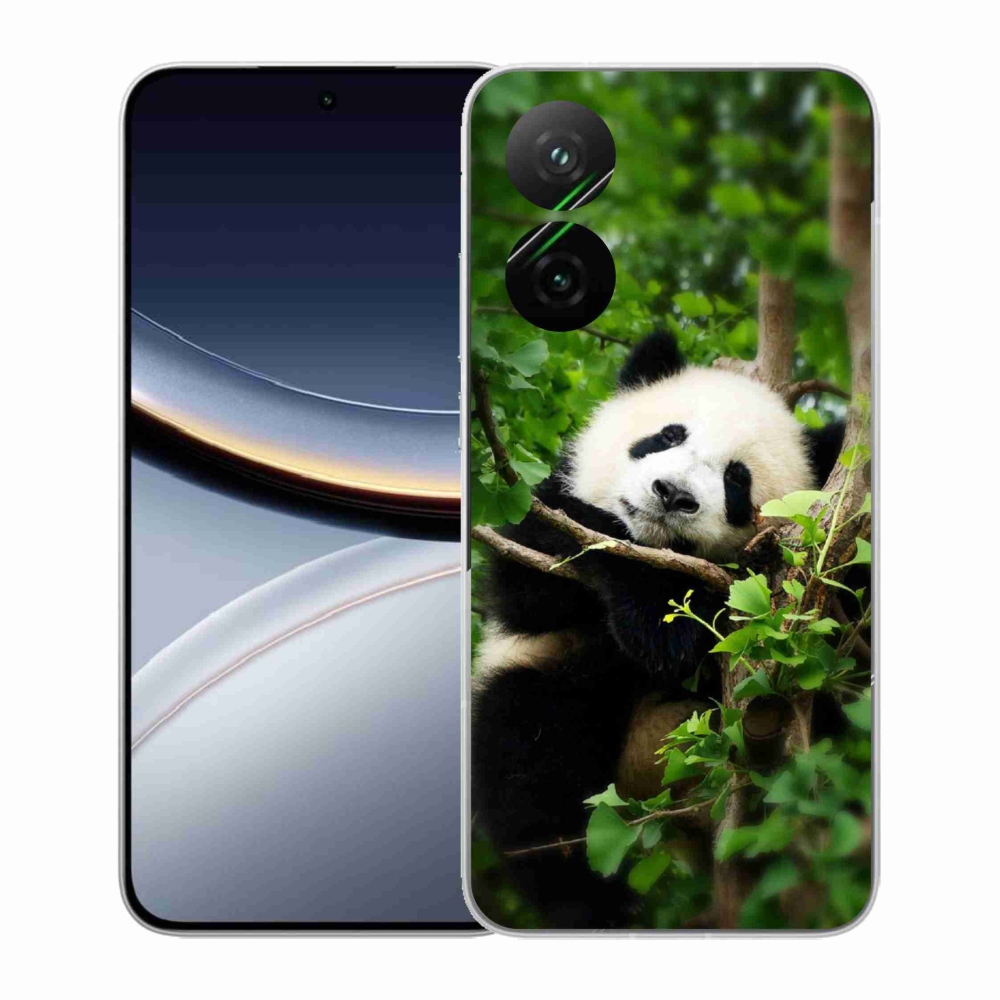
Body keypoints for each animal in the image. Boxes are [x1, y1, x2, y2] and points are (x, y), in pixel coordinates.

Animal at [471, 330, 845, 929]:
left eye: (736, 480)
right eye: (667, 435)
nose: (672, 494)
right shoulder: (536, 517)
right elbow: (532, 583)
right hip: (552, 689)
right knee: (530, 764)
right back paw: (592, 902)